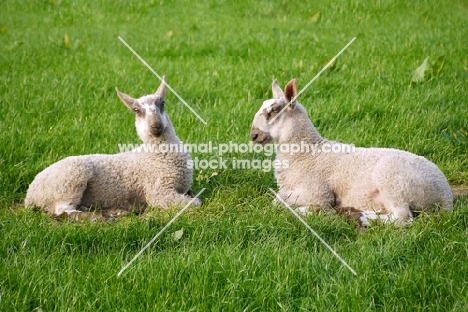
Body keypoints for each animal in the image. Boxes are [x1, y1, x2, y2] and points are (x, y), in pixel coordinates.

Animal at [25, 77, 199, 221]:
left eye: (162, 104)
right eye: (136, 110)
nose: (156, 126)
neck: (154, 156)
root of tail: (30, 194)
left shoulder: (183, 188)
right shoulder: (159, 192)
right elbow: (195, 203)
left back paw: (115, 211)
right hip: (69, 180)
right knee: (62, 211)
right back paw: (100, 217)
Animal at [252, 77, 454, 224]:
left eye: (273, 111)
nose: (253, 135)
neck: (308, 152)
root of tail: (446, 196)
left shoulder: (318, 191)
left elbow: (279, 203)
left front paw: (310, 211)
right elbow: (277, 199)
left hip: (394, 181)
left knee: (402, 218)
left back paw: (361, 218)